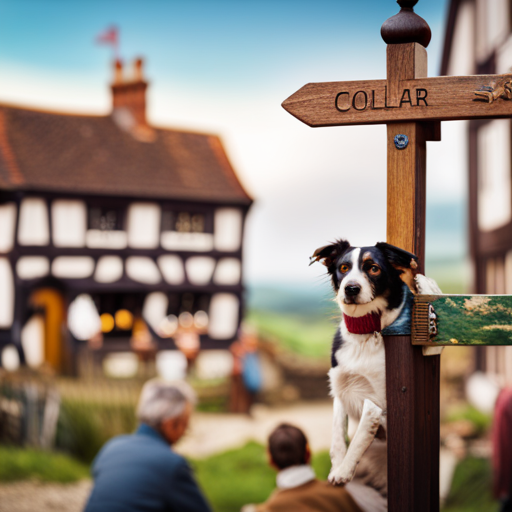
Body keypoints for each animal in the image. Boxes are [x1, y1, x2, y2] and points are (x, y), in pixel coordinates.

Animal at [310, 240, 442, 492]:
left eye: (373, 268)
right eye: (343, 268)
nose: (350, 289)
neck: (364, 332)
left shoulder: (376, 402)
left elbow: (360, 437)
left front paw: (343, 471)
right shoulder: (340, 391)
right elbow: (337, 436)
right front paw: (336, 467)